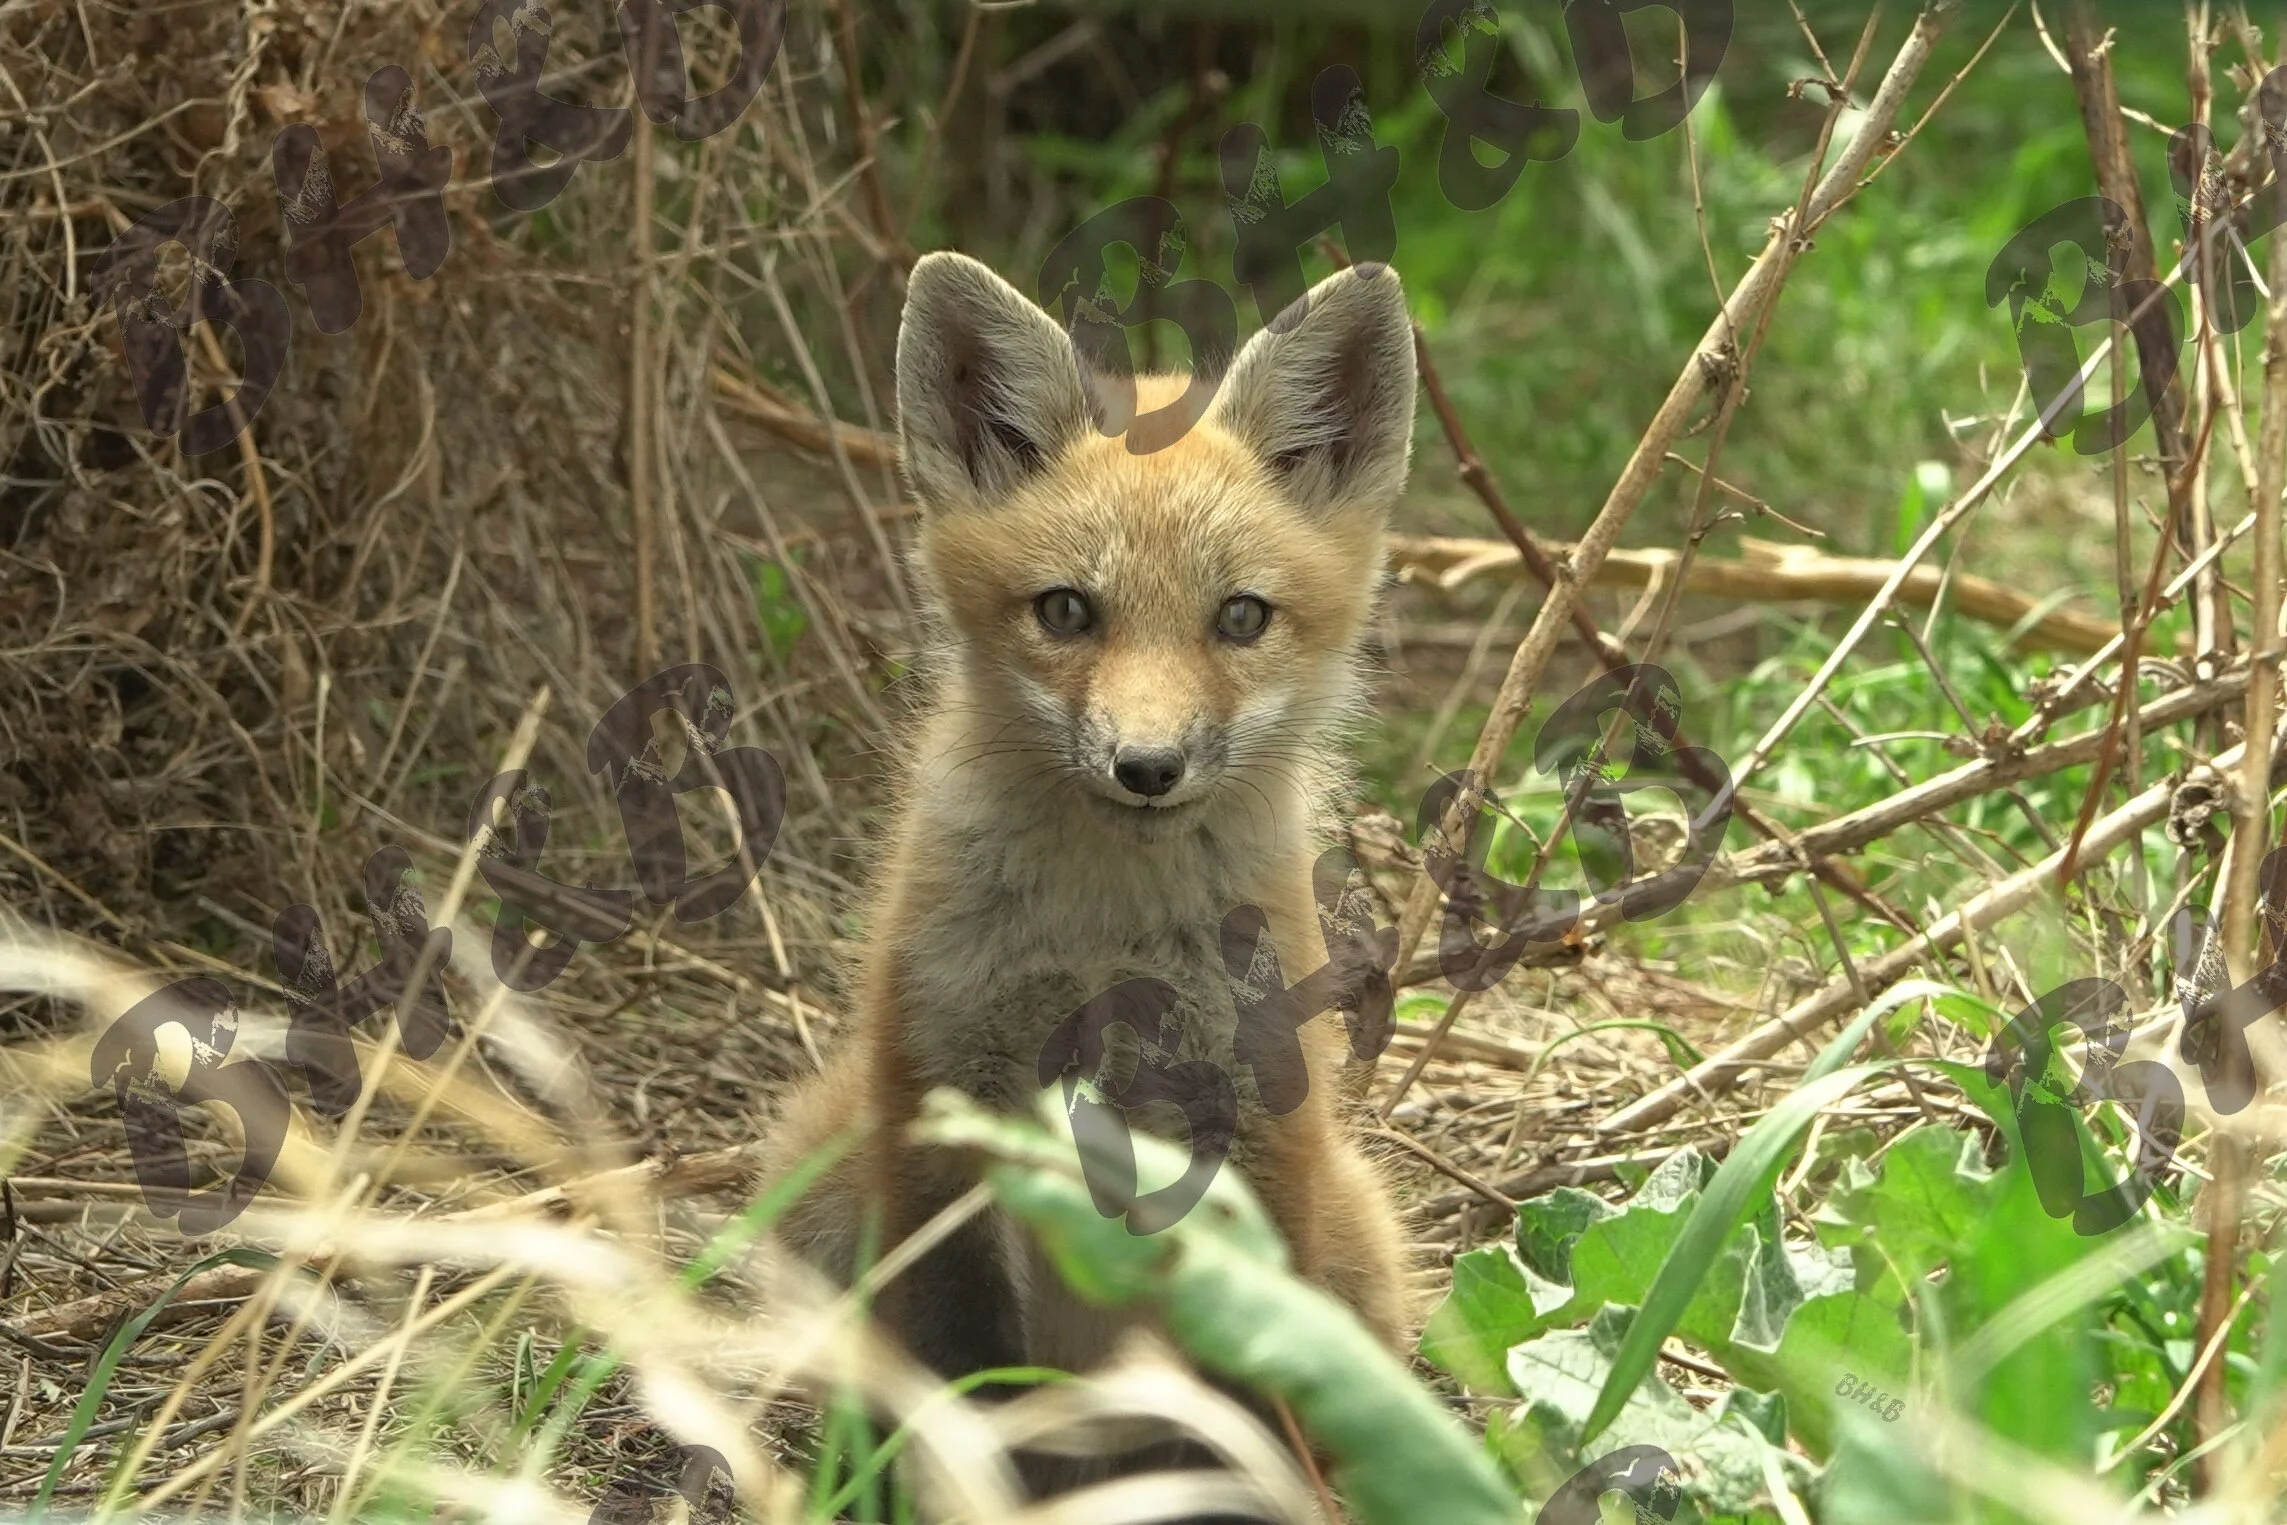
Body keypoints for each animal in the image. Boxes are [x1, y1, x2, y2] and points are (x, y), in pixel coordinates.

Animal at [761, 248, 1421, 1495]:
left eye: (1240, 617)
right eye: (1067, 609)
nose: (1146, 767)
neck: (1107, 939)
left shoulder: (1256, 1126)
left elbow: (1256, 1384)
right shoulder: (941, 1109)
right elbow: (962, 1366)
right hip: (825, 1167)